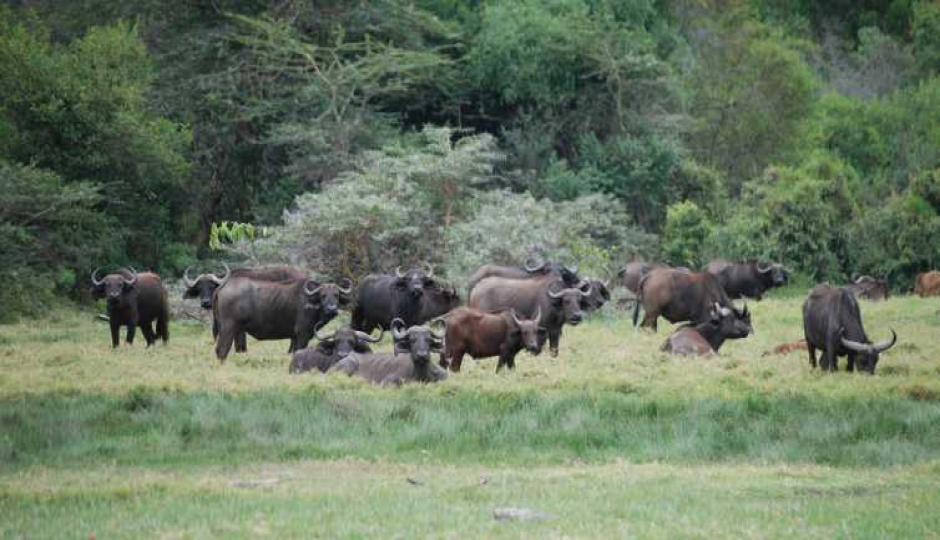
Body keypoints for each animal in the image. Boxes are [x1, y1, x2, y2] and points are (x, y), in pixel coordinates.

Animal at [213, 274, 352, 362]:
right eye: (323, 295)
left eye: (336, 295)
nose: (332, 309)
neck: (311, 301)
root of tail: (224, 285)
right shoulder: (302, 335)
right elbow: (299, 352)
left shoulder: (294, 337)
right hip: (228, 328)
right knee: (222, 350)